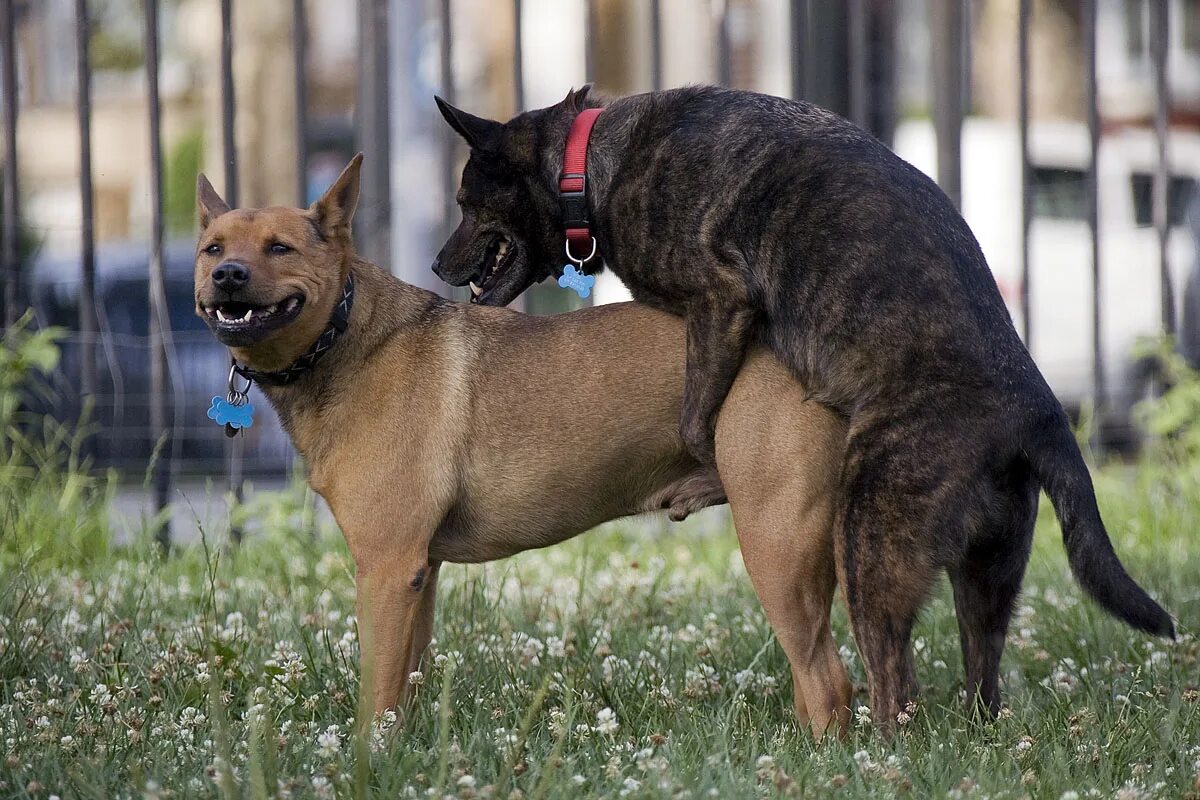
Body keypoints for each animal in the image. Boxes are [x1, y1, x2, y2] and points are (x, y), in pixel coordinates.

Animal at [192, 155, 854, 738]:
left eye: (280, 248)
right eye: (213, 249)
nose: (227, 276)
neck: (343, 335)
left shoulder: (386, 568)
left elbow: (376, 692)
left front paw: (367, 758)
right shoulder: (418, 574)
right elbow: (404, 685)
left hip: (776, 543)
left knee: (828, 683)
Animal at [436, 86, 1176, 724]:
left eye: (467, 200)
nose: (440, 266)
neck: (586, 160)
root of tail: (1039, 410)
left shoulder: (720, 300)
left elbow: (696, 420)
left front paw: (702, 477)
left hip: (870, 543)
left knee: (892, 685)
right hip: (985, 580)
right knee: (981, 683)